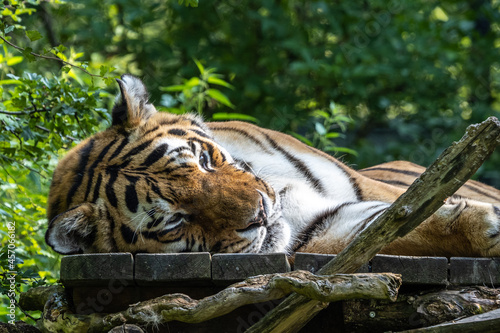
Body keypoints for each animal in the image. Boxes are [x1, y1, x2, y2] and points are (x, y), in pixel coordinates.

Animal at [44, 74, 500, 256]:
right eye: (174, 220)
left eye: (204, 160)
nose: (261, 215)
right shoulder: (324, 231)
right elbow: (395, 227)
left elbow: (409, 211)